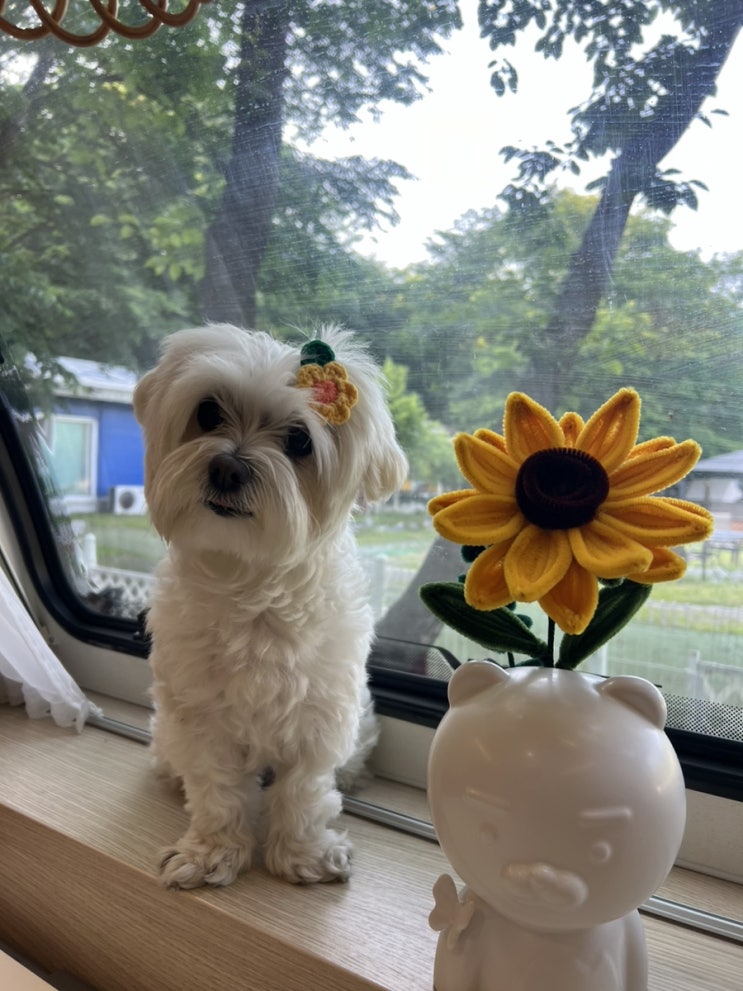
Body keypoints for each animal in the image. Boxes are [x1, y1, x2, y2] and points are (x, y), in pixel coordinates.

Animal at [133, 324, 408, 889]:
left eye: (299, 440)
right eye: (208, 412)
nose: (226, 467)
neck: (250, 584)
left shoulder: (320, 715)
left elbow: (304, 792)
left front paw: (302, 854)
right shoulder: (199, 716)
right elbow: (216, 789)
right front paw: (212, 852)